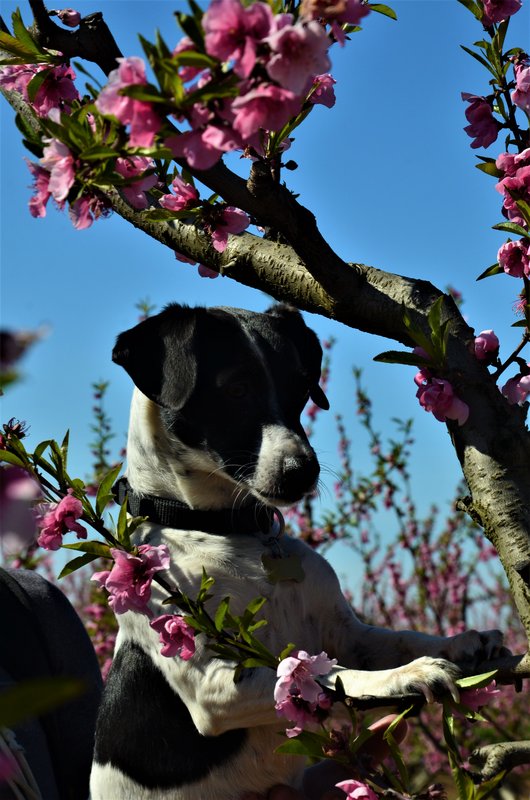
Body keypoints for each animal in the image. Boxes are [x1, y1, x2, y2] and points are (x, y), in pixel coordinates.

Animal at [91, 304, 504, 800]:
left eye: (301, 388)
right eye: (235, 388)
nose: (303, 471)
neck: (234, 533)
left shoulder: (346, 633)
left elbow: (398, 638)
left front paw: (458, 641)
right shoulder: (214, 686)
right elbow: (328, 677)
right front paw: (406, 675)